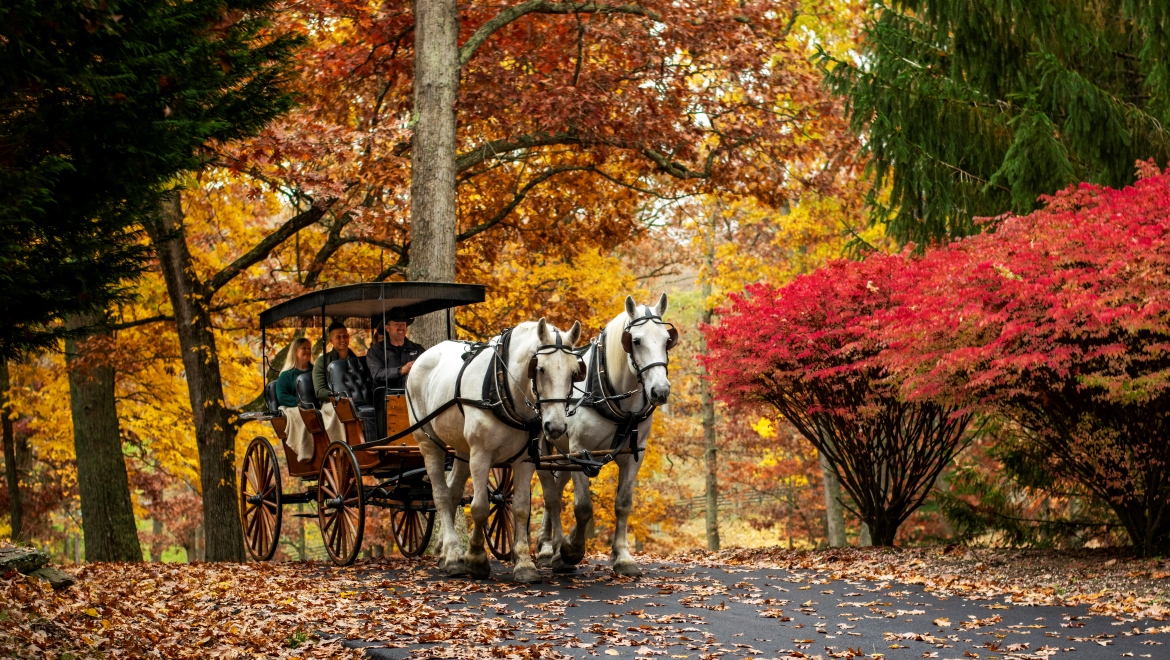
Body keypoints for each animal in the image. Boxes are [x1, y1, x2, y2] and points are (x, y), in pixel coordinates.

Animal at [407, 318, 583, 581]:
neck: (503, 387)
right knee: (440, 495)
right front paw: (476, 558)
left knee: (452, 491)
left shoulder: (524, 459)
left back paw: (445, 552)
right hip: (428, 442)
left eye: (574, 372)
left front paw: (524, 564)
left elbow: (520, 508)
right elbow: (479, 507)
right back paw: (453, 557)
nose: (556, 426)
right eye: (540, 369)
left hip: (462, 449)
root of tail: (423, 357)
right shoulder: (480, 454)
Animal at [535, 293, 675, 576]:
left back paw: (547, 547)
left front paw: (622, 557)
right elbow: (583, 507)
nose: (660, 391)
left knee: (556, 488)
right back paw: (552, 552)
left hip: (564, 455)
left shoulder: (634, 454)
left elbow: (623, 503)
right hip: (546, 446)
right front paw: (571, 549)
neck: (611, 393)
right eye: (636, 341)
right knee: (551, 495)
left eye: (668, 340)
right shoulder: (580, 450)